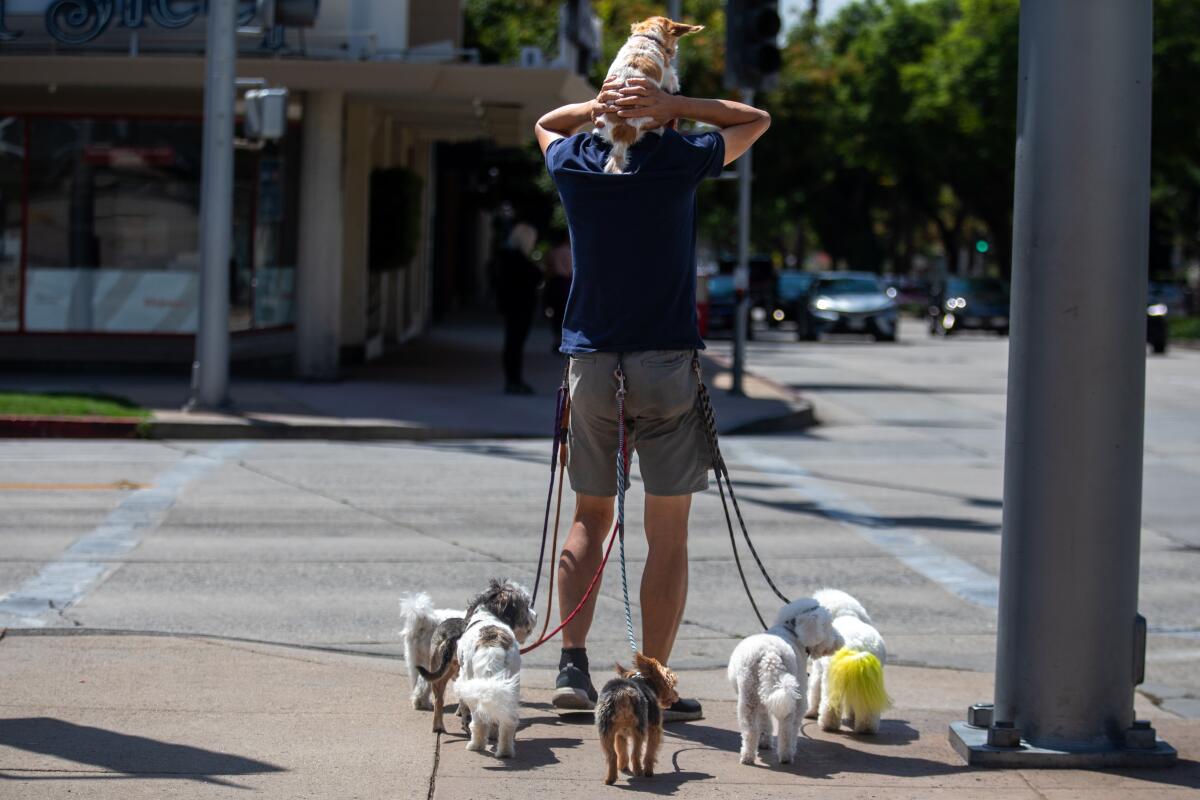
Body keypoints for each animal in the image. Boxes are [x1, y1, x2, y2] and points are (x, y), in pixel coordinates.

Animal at [451, 578, 537, 762]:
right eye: (526, 605)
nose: (535, 615)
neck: (489, 614)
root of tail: (493, 649)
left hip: (472, 683)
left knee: (478, 721)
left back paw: (475, 745)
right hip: (510, 685)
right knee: (507, 723)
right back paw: (505, 750)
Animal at [595, 652, 681, 786]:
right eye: (671, 684)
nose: (677, 695)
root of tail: (622, 694)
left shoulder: (619, 734)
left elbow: (622, 749)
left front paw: (623, 766)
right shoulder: (655, 729)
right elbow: (650, 752)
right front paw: (648, 771)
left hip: (605, 730)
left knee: (612, 755)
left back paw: (610, 779)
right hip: (639, 728)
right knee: (636, 753)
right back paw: (639, 771)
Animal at [720, 599, 844, 762]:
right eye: (827, 625)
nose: (840, 641)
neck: (791, 631)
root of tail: (770, 655)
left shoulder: (765, 697)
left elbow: (765, 720)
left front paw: (765, 741)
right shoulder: (800, 697)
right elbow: (794, 725)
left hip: (749, 694)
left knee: (750, 729)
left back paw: (747, 756)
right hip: (788, 696)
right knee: (786, 729)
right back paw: (787, 754)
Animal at [806, 587, 892, 738]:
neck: (845, 614)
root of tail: (857, 648)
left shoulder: (819, 670)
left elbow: (815, 691)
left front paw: (811, 711)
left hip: (832, 677)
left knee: (830, 702)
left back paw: (828, 724)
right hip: (867, 678)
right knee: (868, 708)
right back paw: (866, 728)